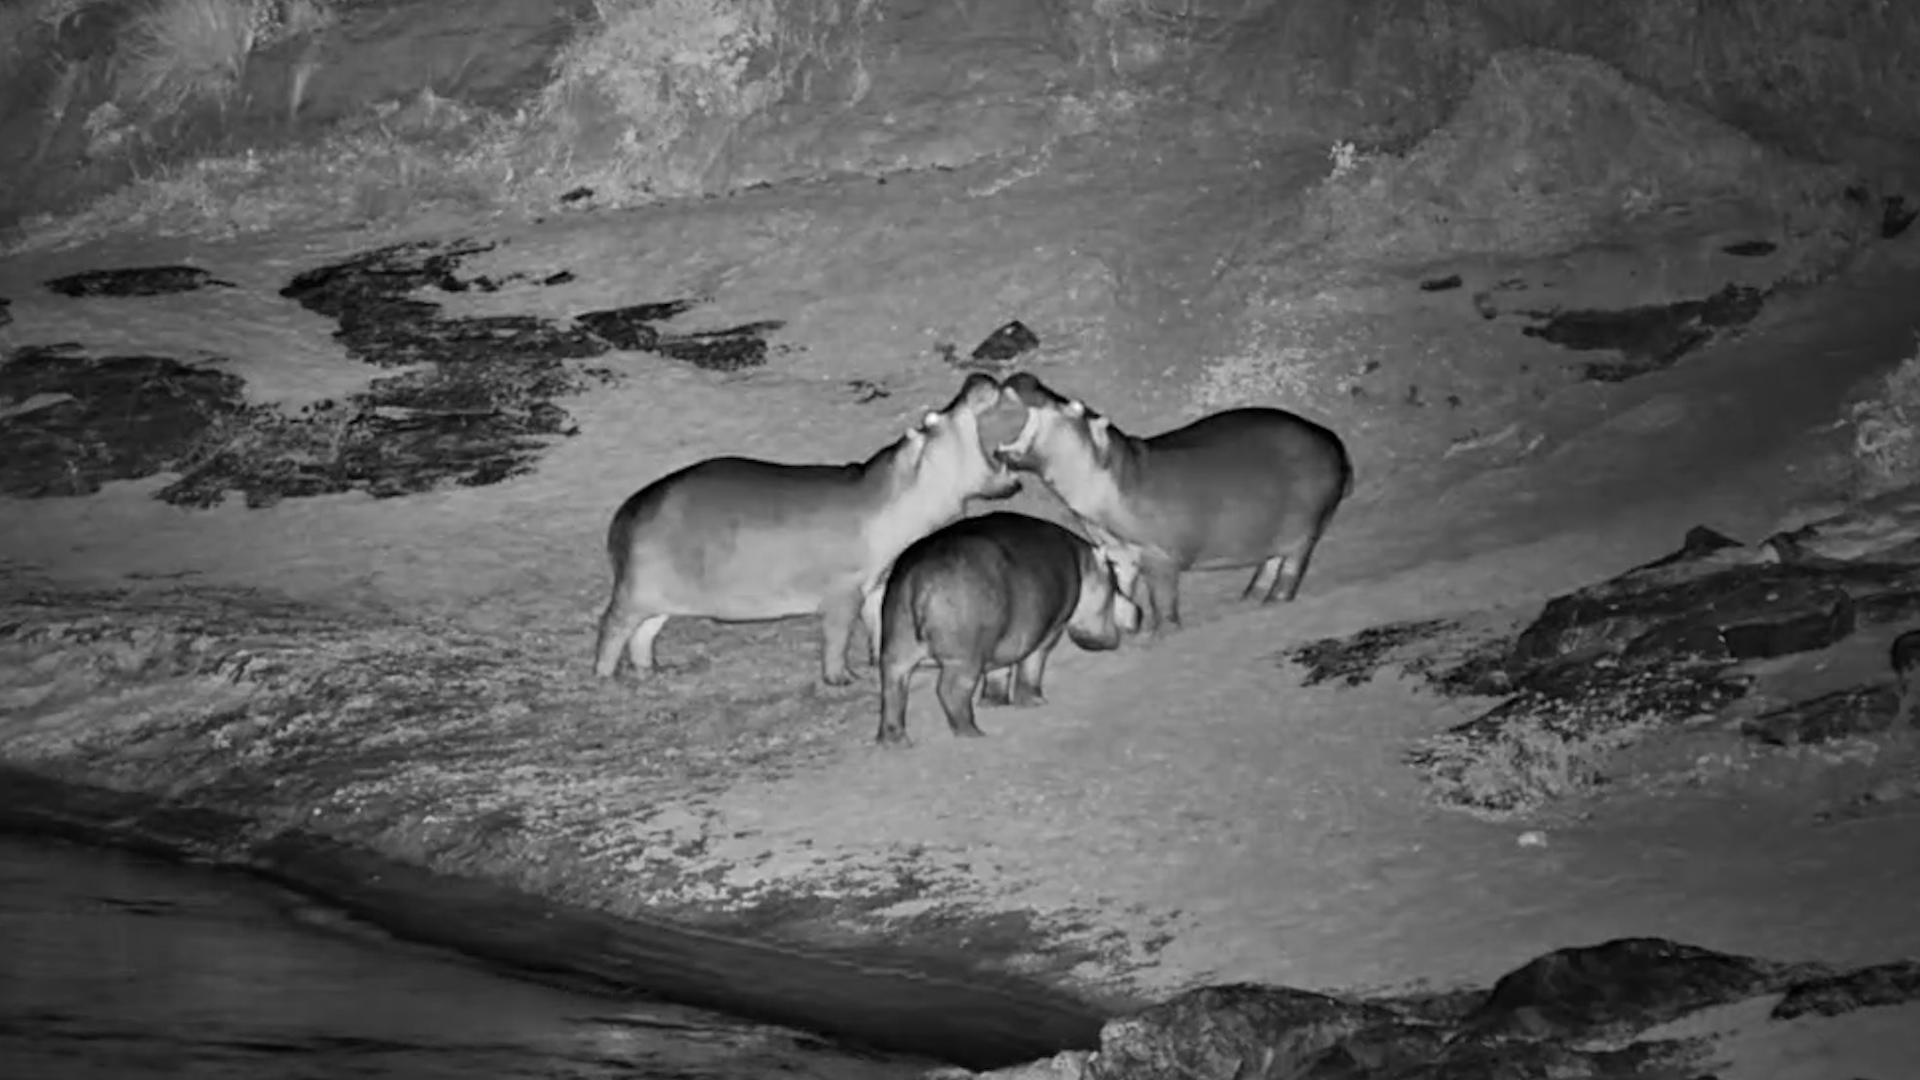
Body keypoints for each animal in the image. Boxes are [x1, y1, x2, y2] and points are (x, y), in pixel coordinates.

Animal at [593, 374, 1020, 685]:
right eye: (932, 419)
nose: (977, 377)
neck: (901, 485)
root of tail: (625, 512)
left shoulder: (876, 582)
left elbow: (878, 622)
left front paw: (877, 661)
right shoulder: (843, 591)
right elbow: (837, 636)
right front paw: (842, 679)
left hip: (660, 598)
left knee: (643, 634)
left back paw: (654, 671)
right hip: (633, 592)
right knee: (612, 627)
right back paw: (604, 677)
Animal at [873, 511, 1141, 745]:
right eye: (1115, 581)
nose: (1140, 613)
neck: (1083, 563)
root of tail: (917, 578)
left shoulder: (1004, 640)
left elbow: (999, 672)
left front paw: (993, 703)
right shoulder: (1049, 631)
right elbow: (1031, 667)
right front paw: (1037, 702)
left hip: (896, 649)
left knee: (892, 690)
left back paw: (896, 742)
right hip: (963, 658)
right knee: (950, 691)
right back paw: (973, 734)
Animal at [994, 372, 1353, 635]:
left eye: (1075, 406)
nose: (1026, 377)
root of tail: (1330, 440)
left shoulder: (1158, 556)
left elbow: (1162, 601)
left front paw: (1160, 633)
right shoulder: (1118, 551)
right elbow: (1122, 589)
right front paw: (1124, 626)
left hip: (1304, 531)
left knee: (1291, 568)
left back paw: (1273, 601)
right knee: (1270, 562)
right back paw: (1249, 597)